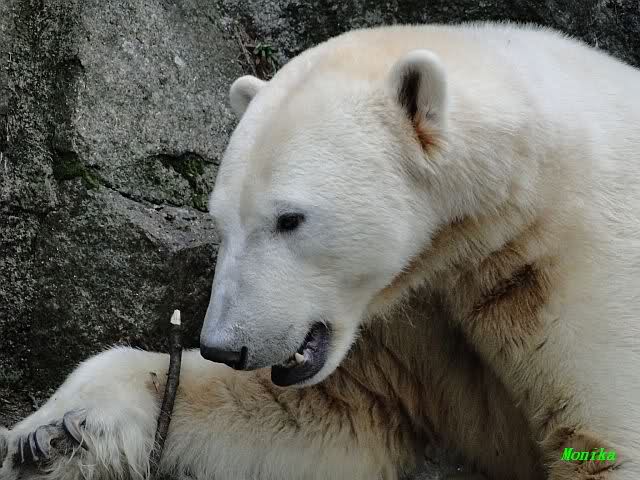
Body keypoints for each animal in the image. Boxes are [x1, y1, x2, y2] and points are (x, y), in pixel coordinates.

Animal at [1, 21, 639, 480]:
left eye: (289, 219)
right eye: (220, 220)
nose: (224, 345)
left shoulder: (575, 262)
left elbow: (603, 437)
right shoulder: (410, 313)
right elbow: (328, 416)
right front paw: (52, 432)